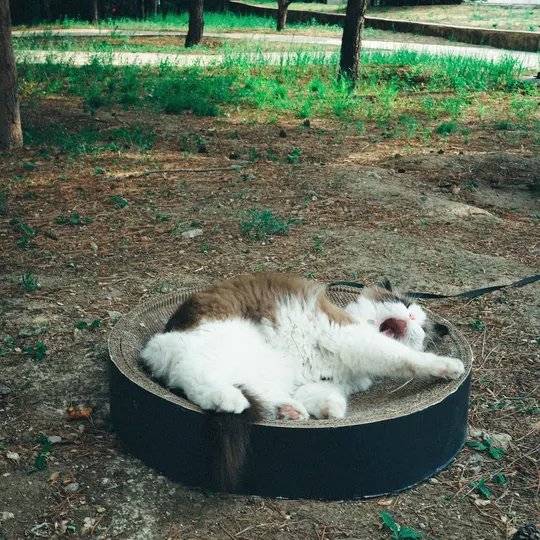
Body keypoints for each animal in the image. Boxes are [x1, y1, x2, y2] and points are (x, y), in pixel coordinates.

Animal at [140, 272, 463, 490]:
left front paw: (331, 410)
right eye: (403, 304)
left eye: (420, 326)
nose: (410, 317)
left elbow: (326, 394)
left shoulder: (321, 378)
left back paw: (287, 411)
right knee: (196, 377)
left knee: (257, 395)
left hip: (264, 368)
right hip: (223, 342)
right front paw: (447, 366)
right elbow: (405, 357)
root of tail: (154, 351)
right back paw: (230, 401)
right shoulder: (351, 337)